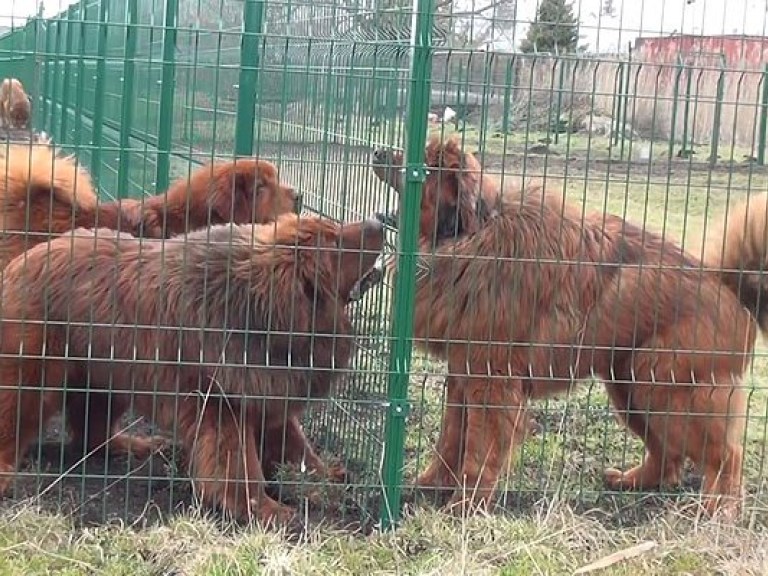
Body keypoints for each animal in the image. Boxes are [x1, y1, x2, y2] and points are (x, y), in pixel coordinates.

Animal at [0, 214, 384, 524]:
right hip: (37, 375)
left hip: (109, 374)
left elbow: (296, 446)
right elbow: (239, 464)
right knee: (18, 418)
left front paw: (325, 480)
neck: (260, 311)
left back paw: (133, 445)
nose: (380, 222)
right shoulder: (219, 404)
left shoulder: (264, 388)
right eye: (335, 242)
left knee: (92, 434)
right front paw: (263, 509)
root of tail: (21, 261)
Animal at [368, 137, 764, 520]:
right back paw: (633, 480)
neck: (471, 233)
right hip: (630, 389)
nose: (378, 151)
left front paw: (465, 505)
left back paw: (718, 510)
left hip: (667, 391)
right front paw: (432, 483)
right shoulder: (462, 375)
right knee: (668, 456)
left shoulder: (491, 384)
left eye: (424, 162)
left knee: (727, 456)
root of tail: (729, 287)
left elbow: (478, 452)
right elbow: (451, 438)